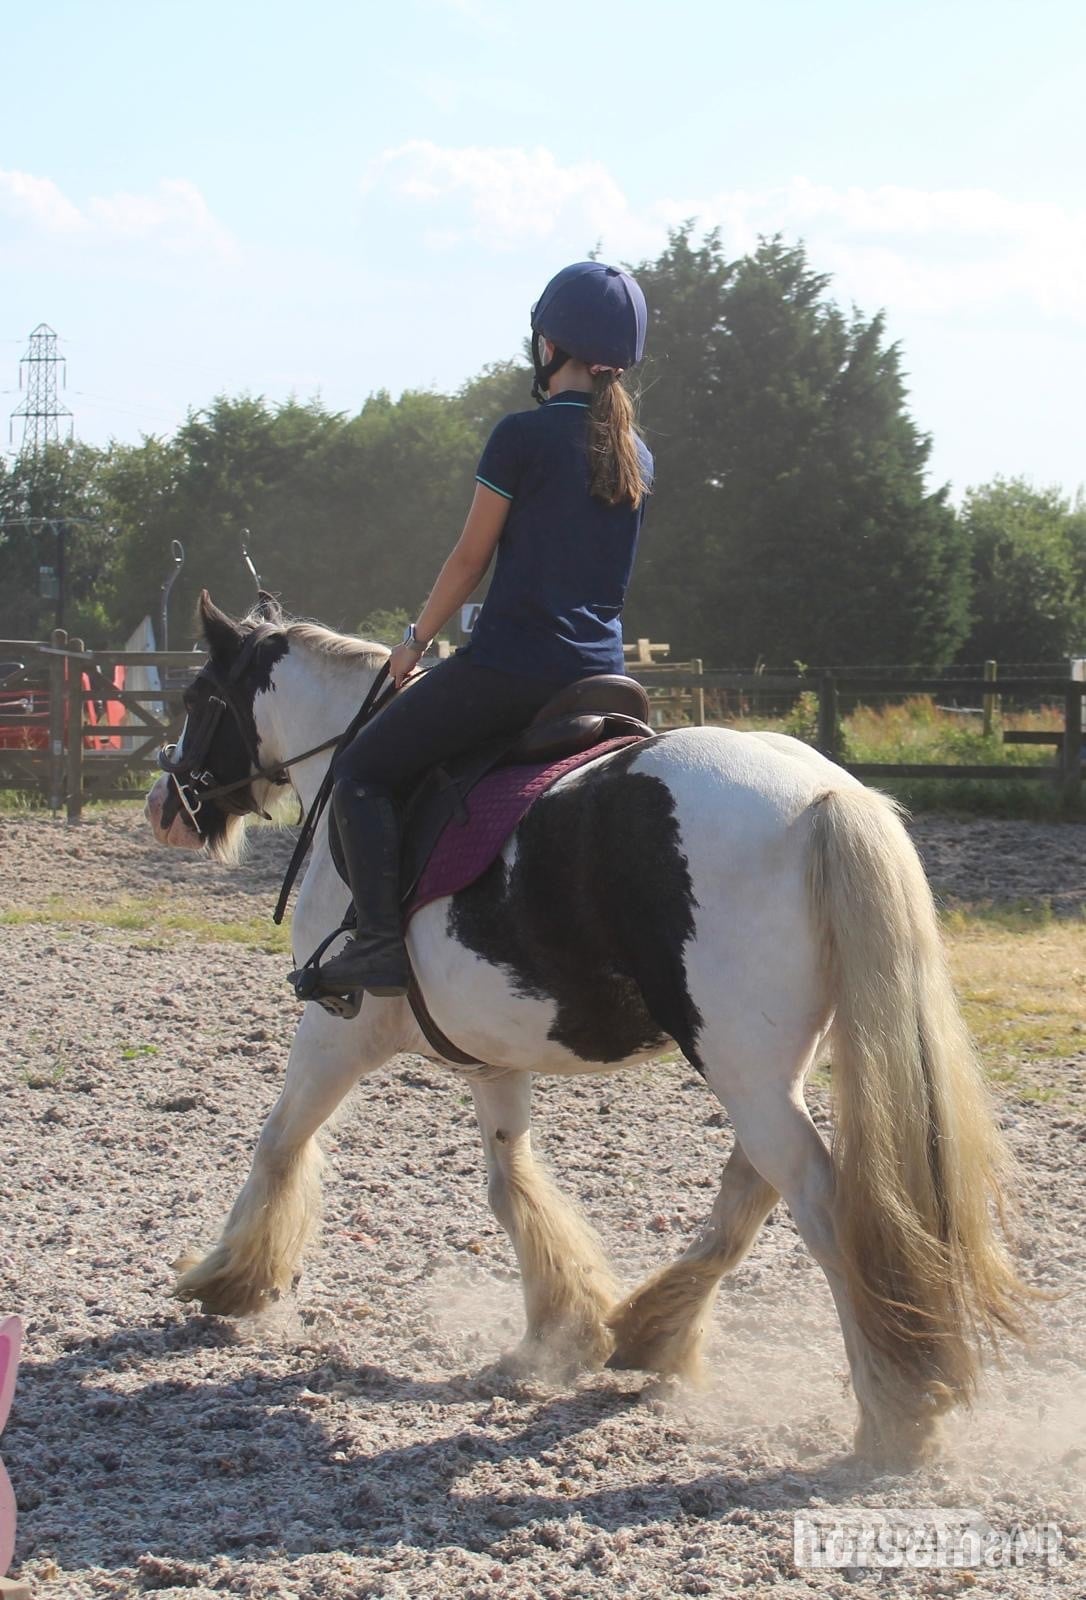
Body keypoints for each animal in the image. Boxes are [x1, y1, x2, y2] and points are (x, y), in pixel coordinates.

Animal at [144, 591, 1025, 1469]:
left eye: (196, 697)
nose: (165, 808)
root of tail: (821, 798)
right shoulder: (491, 1059)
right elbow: (509, 1183)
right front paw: (558, 1330)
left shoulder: (336, 1032)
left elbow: (278, 1140)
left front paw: (229, 1278)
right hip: (766, 1071)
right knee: (750, 1190)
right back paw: (652, 1331)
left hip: (744, 1073)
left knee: (818, 1205)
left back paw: (893, 1413)